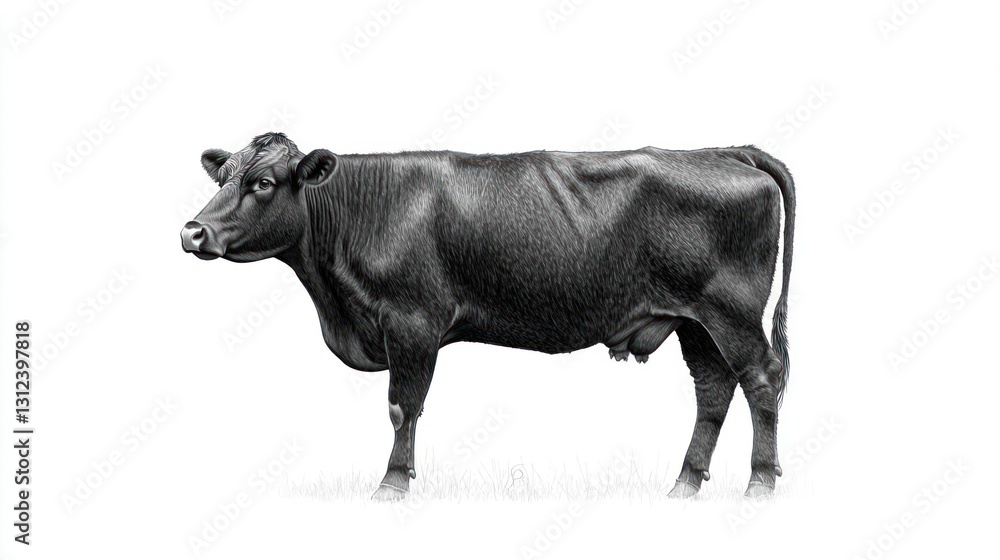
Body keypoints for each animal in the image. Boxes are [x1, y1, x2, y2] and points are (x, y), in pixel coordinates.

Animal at [180, 132, 795, 501]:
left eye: (262, 183)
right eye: (222, 177)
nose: (193, 231)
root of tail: (723, 150)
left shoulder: (412, 322)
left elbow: (402, 407)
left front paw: (392, 485)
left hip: (730, 312)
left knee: (761, 381)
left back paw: (760, 483)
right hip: (695, 322)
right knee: (713, 390)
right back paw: (685, 485)